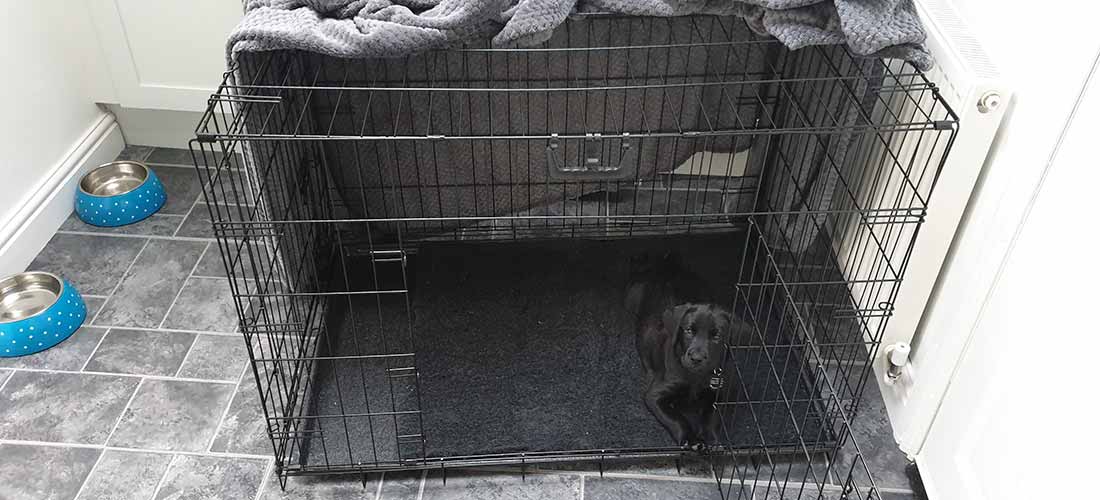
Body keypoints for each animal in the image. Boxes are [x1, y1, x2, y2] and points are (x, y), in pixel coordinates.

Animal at [629, 252, 739, 452]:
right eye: (688, 330)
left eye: (716, 335)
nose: (696, 358)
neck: (696, 376)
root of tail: (666, 265)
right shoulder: (655, 395)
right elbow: (677, 418)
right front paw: (691, 439)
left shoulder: (720, 393)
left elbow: (711, 419)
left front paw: (711, 441)